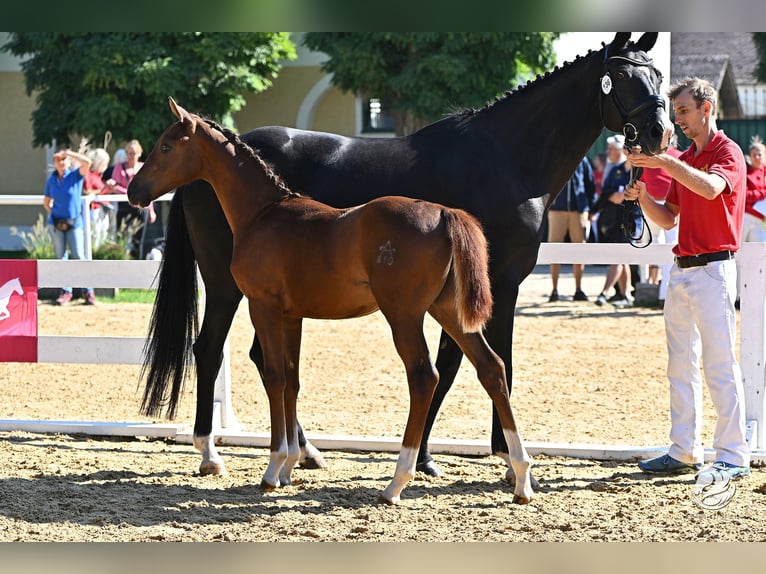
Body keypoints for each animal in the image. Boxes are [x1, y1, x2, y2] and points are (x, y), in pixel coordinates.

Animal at [142, 33, 672, 480]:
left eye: (657, 74)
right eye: (623, 76)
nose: (658, 131)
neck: (503, 157)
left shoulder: (481, 289)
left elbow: (463, 363)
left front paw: (449, 456)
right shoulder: (498, 284)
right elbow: (468, 364)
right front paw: (481, 458)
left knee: (261, 358)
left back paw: (305, 451)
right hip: (224, 284)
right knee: (209, 350)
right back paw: (210, 453)